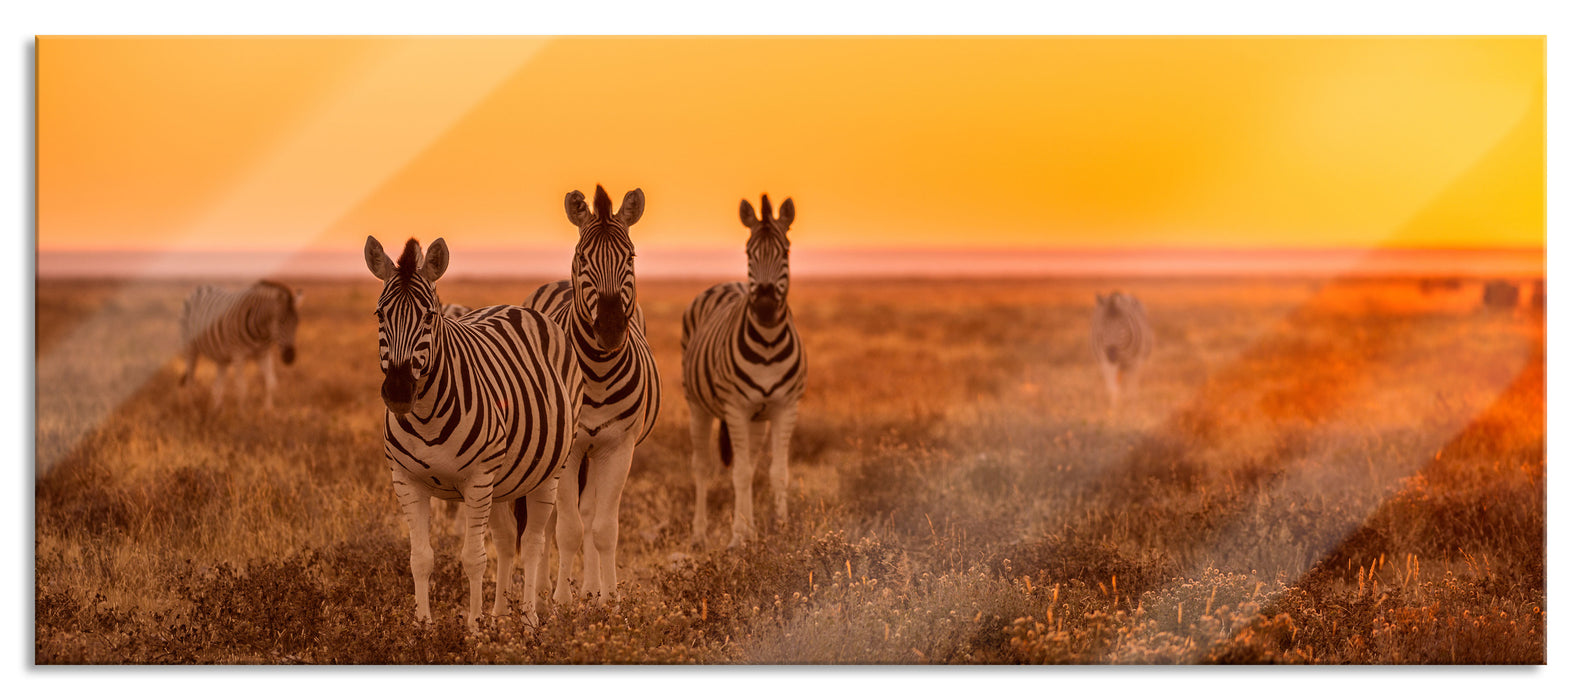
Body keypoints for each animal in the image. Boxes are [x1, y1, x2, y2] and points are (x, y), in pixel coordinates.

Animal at [178, 280, 303, 410]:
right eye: (281, 322)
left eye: (297, 322)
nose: (290, 357)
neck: (261, 332)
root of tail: (199, 288)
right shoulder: (238, 355)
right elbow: (242, 388)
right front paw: (243, 413)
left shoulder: (263, 354)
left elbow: (271, 383)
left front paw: (269, 410)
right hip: (190, 347)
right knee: (189, 381)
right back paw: (193, 410)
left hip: (221, 357)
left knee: (217, 386)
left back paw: (217, 411)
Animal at [364, 236, 583, 630]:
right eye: (379, 315)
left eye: (429, 316)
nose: (399, 392)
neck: (426, 417)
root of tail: (517, 307)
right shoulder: (405, 480)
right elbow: (420, 557)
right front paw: (423, 627)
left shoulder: (477, 479)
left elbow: (473, 558)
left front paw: (473, 629)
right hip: (501, 481)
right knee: (507, 537)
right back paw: (500, 615)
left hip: (548, 473)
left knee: (533, 542)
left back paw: (529, 619)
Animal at [522, 184, 661, 603]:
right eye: (583, 257)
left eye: (630, 257)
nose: (612, 329)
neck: (597, 373)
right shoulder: (569, 450)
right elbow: (567, 528)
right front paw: (560, 603)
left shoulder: (618, 446)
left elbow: (603, 529)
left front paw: (608, 599)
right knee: (553, 519)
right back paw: (545, 590)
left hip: (596, 451)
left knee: (589, 513)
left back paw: (589, 589)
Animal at [682, 194, 807, 548]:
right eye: (749, 253)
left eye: (785, 252)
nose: (764, 307)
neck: (767, 343)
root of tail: (727, 283)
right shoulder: (736, 408)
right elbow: (737, 473)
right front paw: (737, 537)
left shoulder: (784, 407)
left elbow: (777, 471)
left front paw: (781, 529)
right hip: (698, 405)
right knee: (702, 466)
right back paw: (700, 535)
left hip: (756, 418)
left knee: (749, 464)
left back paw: (751, 528)